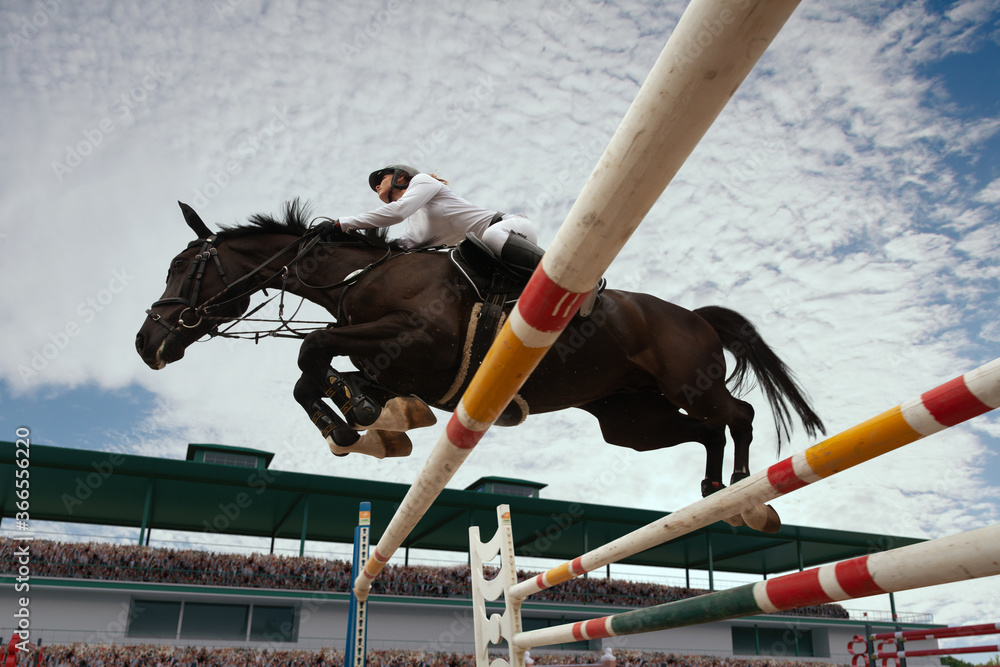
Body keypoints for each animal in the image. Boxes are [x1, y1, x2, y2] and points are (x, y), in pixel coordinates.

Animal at [137, 200, 824, 532]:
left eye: (181, 266)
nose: (147, 342)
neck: (359, 276)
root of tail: (696, 316)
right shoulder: (387, 357)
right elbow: (317, 370)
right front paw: (361, 422)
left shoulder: (416, 339)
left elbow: (311, 352)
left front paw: (355, 417)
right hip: (631, 421)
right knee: (705, 430)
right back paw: (716, 494)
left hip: (687, 381)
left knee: (738, 414)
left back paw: (747, 490)